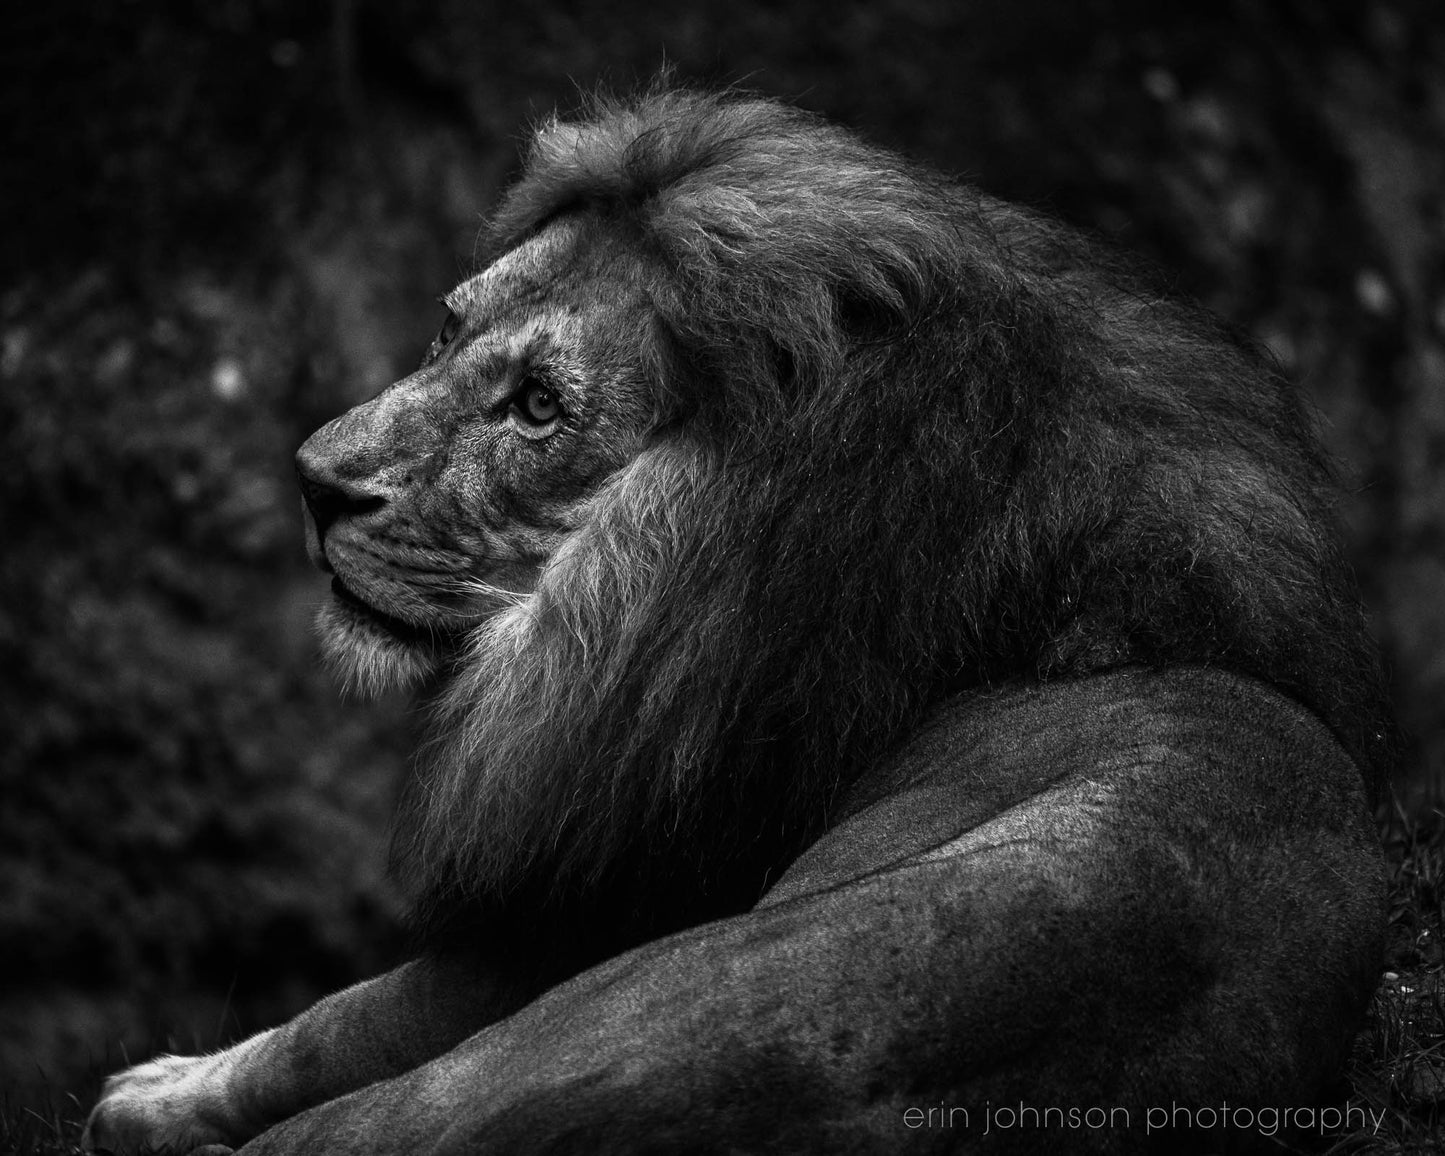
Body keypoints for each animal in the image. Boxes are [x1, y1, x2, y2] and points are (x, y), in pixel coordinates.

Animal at [84, 85, 1392, 1150]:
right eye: (448, 328)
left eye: (540, 406)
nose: (313, 480)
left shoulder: (562, 925)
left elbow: (330, 1019)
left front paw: (154, 1085)